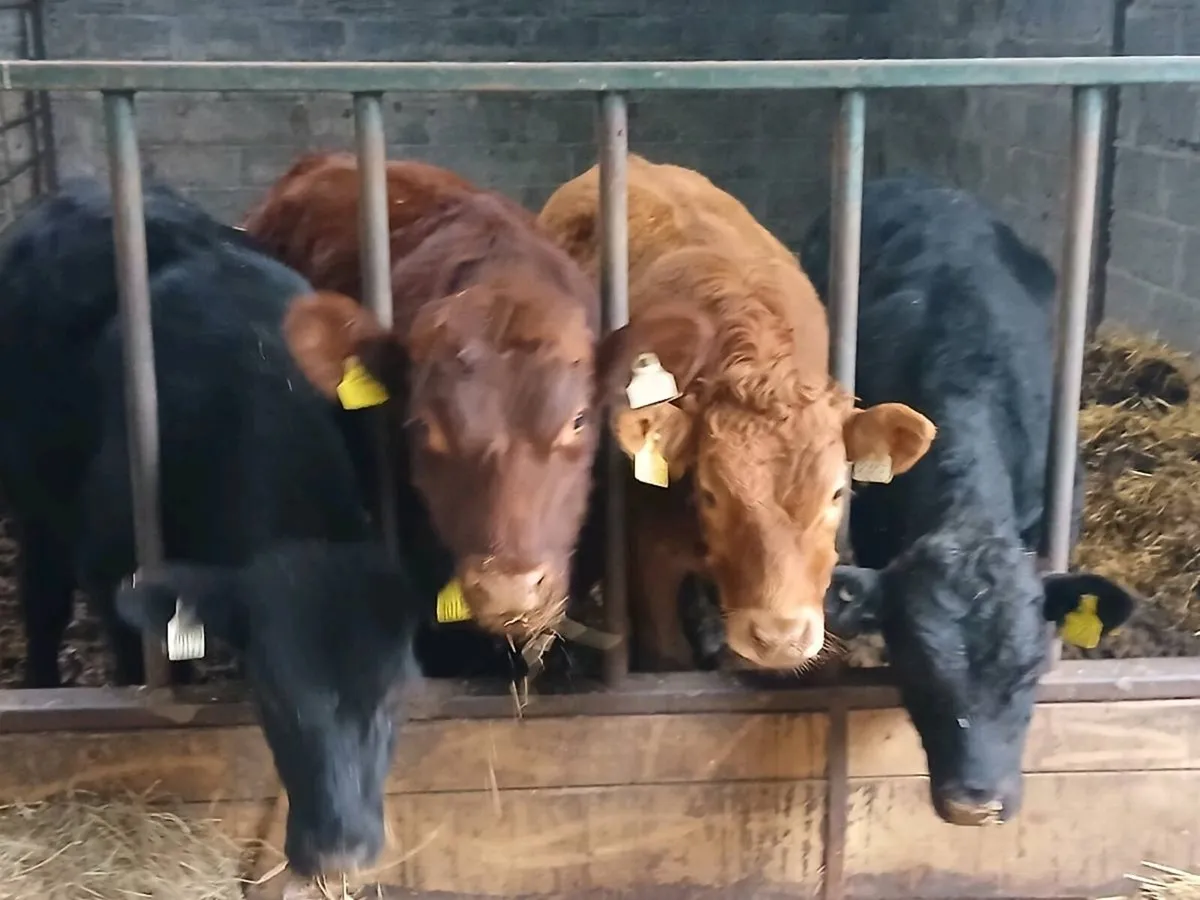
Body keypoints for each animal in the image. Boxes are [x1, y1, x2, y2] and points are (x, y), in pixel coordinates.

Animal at [0, 178, 423, 876]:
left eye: (395, 698)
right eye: (272, 696)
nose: (339, 851)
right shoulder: (112, 566)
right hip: (34, 498)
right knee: (42, 605)